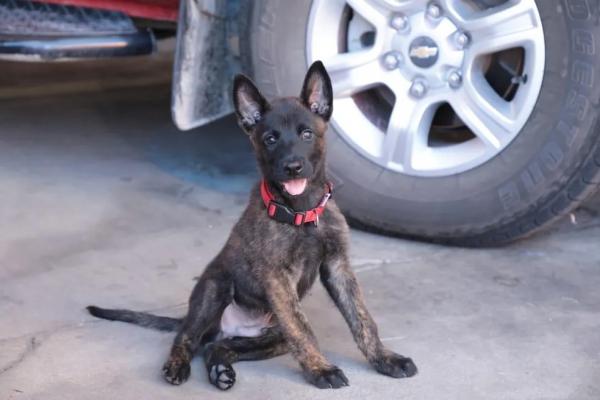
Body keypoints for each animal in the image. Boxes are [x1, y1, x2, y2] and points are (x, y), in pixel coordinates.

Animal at [88, 61, 418, 390]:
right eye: (270, 139)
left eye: (307, 134)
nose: (292, 166)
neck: (302, 211)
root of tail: (228, 328)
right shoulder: (278, 278)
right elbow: (303, 329)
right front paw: (321, 369)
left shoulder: (338, 267)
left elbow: (362, 319)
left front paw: (385, 358)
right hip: (214, 290)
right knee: (187, 338)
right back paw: (177, 365)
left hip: (273, 337)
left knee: (217, 346)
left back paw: (221, 371)